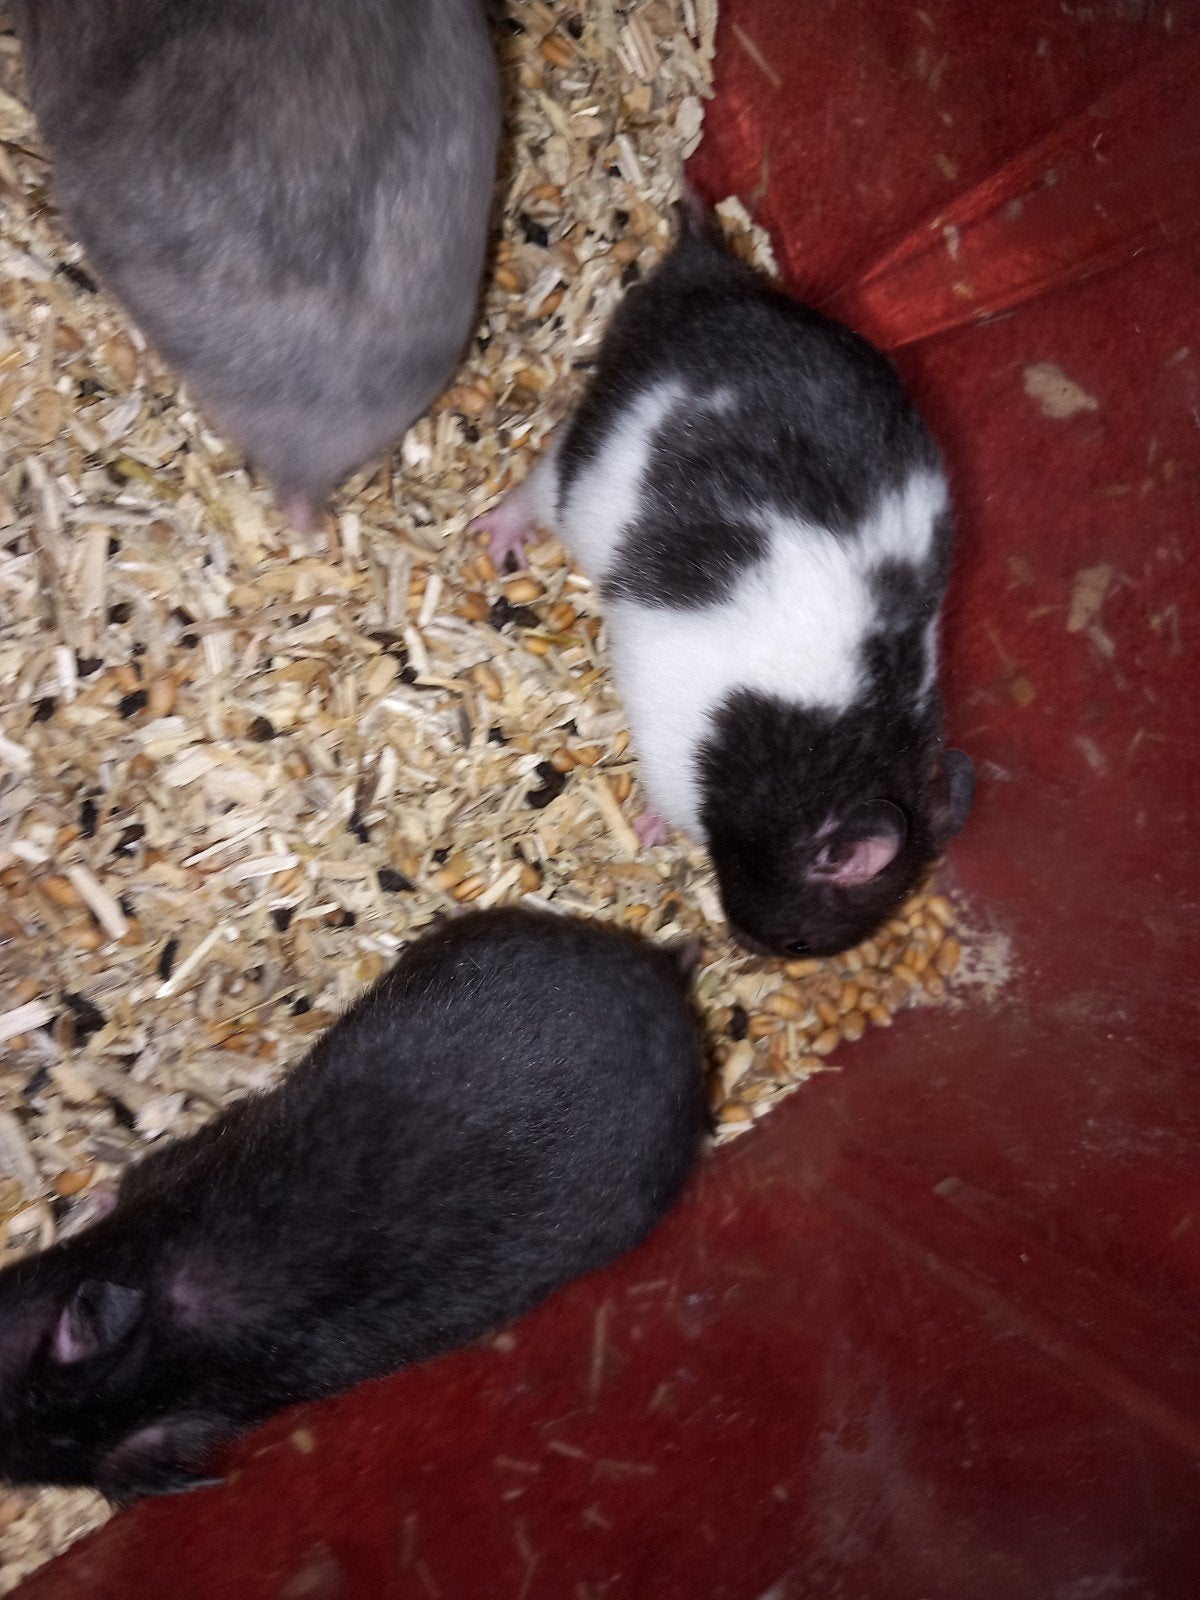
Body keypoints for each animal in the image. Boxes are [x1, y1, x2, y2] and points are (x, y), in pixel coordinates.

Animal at [475, 201, 975, 959]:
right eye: (798, 945)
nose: (745, 945)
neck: (827, 762)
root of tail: (705, 276)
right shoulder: (674, 756)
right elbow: (660, 799)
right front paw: (648, 831)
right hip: (590, 462)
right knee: (535, 484)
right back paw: (497, 538)